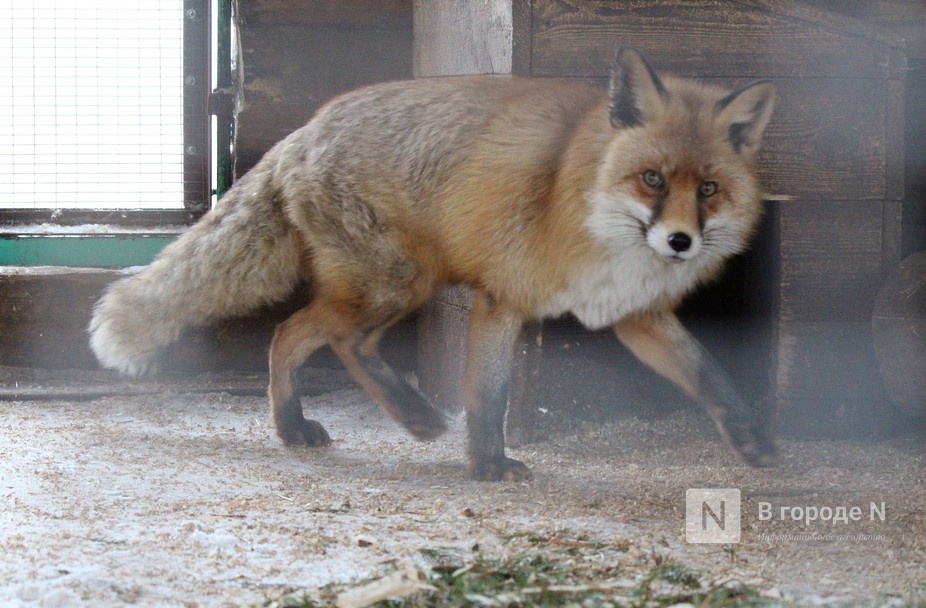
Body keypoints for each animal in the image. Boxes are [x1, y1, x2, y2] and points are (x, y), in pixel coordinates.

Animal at [89, 48, 784, 480]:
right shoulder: (504, 298)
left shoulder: (636, 315)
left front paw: (753, 439)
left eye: (709, 190)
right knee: (336, 339)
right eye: (653, 179)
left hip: (381, 287)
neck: (585, 199)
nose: (679, 242)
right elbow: (488, 396)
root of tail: (301, 133)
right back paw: (413, 416)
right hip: (400, 283)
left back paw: (293, 426)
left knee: (292, 334)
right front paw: (488, 466)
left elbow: (710, 376)